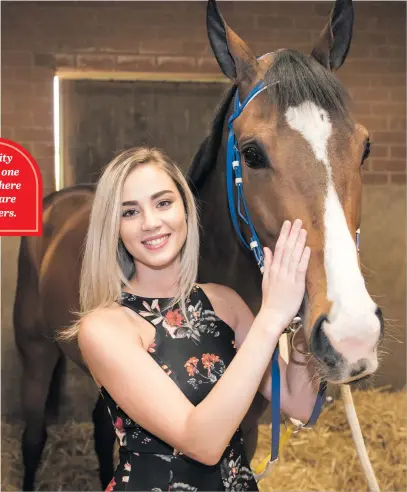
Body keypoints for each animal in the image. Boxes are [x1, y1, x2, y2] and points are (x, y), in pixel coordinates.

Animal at [12, 0, 382, 490]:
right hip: (35, 353)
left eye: (365, 147)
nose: (353, 334)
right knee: (33, 437)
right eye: (252, 153)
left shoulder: (247, 429)